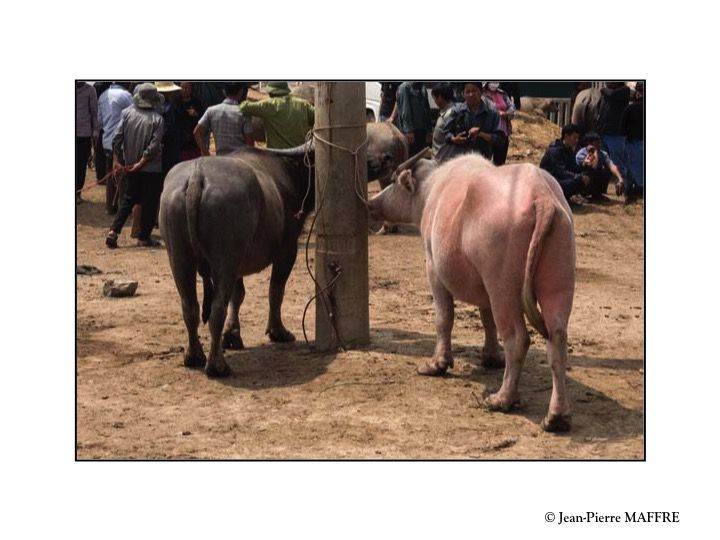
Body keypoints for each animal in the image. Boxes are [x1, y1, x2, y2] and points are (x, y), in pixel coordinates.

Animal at [368, 148, 576, 430]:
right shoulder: (483, 286)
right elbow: (487, 320)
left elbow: (444, 318)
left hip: (502, 287)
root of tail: (541, 197)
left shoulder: (434, 269)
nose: (371, 203)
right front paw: (491, 356)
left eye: (392, 181)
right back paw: (556, 415)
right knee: (557, 339)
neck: (432, 189)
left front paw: (438, 364)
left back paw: (502, 398)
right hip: (558, 279)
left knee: (517, 339)